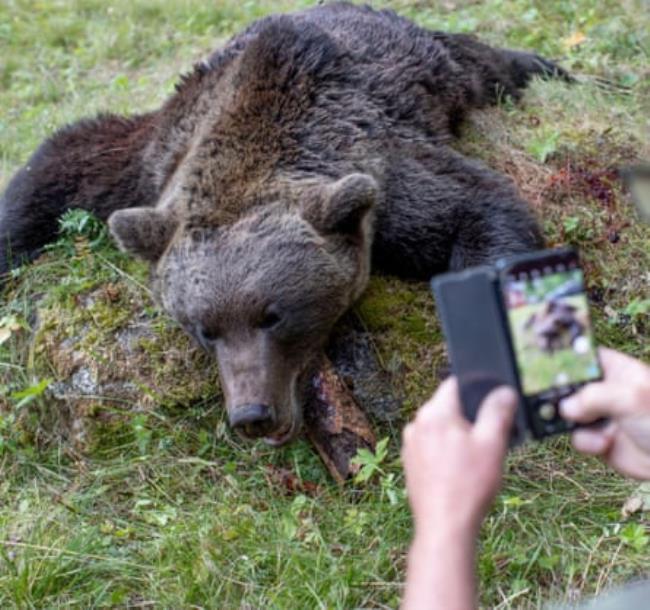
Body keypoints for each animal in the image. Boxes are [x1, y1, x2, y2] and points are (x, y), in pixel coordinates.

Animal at [0, 2, 568, 444]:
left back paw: (549, 67)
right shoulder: (155, 155)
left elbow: (477, 208)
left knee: (480, 63)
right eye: (204, 330)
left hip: (430, 65)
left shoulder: (382, 171)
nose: (251, 414)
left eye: (273, 316)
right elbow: (63, 162)